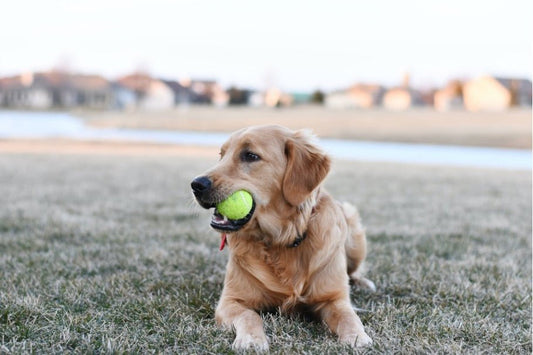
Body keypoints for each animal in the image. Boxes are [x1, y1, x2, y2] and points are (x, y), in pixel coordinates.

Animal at [191, 125, 374, 350]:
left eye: (250, 155)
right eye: (221, 155)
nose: (196, 184)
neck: (281, 239)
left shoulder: (334, 299)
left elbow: (349, 317)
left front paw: (357, 337)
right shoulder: (231, 301)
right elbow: (249, 316)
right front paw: (252, 339)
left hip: (353, 226)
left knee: (354, 271)